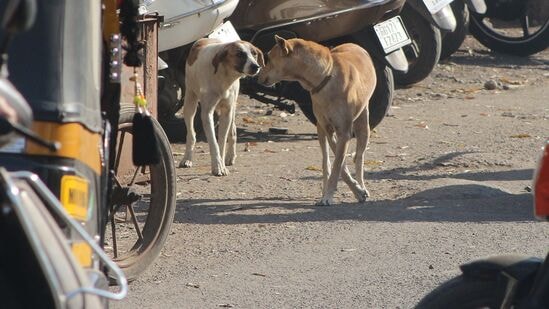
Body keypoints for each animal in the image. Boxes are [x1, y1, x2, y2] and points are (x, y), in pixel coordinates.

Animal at [181, 38, 264, 176]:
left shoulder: (227, 111)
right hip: (189, 103)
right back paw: (187, 158)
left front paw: (221, 164)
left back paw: (230, 156)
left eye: (254, 54)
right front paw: (217, 165)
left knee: (233, 130)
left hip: (232, 108)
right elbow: (213, 143)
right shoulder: (207, 114)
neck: (224, 76)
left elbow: (222, 141)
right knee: (191, 134)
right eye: (240, 54)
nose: (256, 66)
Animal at [256, 36, 376, 205]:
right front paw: (345, 190)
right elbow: (338, 164)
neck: (326, 77)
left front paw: (352, 191)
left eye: (270, 59)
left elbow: (339, 164)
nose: (257, 77)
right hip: (320, 128)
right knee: (326, 160)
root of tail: (355, 45)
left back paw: (361, 184)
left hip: (363, 125)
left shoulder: (344, 132)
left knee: (359, 157)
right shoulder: (328, 129)